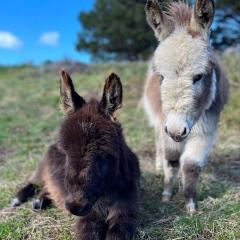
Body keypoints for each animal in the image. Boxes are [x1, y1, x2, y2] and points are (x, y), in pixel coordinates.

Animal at [12, 71, 140, 240]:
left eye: (104, 152)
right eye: (65, 150)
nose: (75, 207)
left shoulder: (125, 213)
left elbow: (117, 233)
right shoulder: (88, 218)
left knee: (47, 189)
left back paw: (40, 201)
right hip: (41, 172)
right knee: (33, 183)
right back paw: (20, 200)